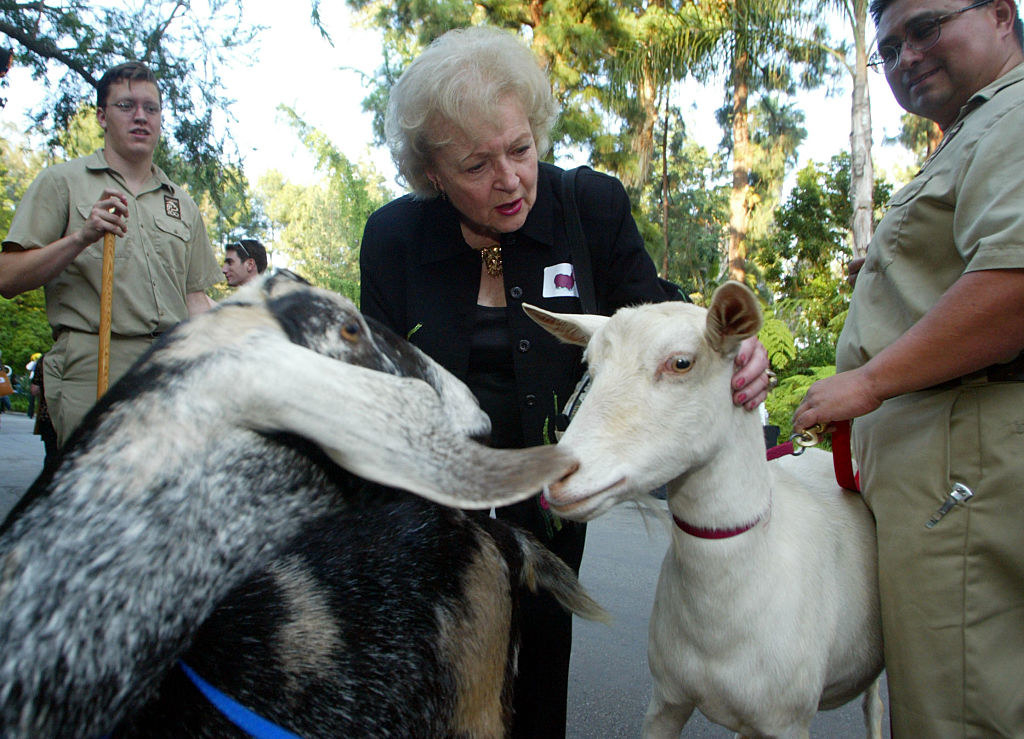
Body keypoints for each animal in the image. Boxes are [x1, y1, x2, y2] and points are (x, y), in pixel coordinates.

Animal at [524, 278, 884, 732]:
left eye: (681, 362)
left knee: (874, 704)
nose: (554, 474)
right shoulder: (667, 699)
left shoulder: (785, 720)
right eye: (590, 365)